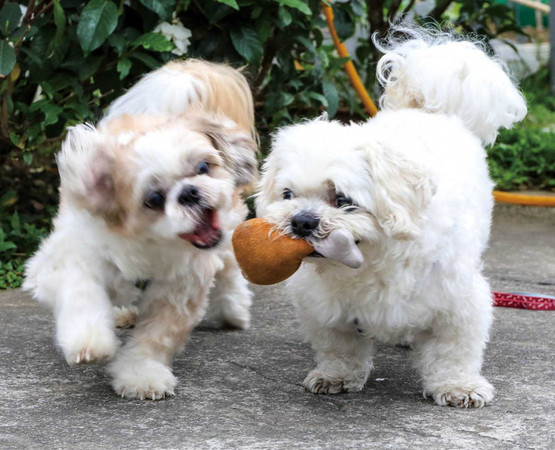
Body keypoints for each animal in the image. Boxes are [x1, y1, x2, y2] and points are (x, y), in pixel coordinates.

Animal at [25, 60, 260, 400]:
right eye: (154, 199)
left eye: (203, 167)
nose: (189, 193)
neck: (148, 246)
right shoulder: (64, 262)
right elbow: (81, 294)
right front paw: (90, 340)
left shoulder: (180, 291)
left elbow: (155, 338)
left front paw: (140, 374)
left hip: (227, 226)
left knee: (228, 268)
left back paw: (233, 309)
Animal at [256, 28, 524, 408]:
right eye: (288, 195)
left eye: (342, 200)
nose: (302, 221)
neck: (371, 261)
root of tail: (423, 106)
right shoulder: (325, 306)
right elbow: (339, 346)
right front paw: (337, 375)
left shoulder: (459, 299)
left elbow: (453, 351)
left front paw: (458, 385)